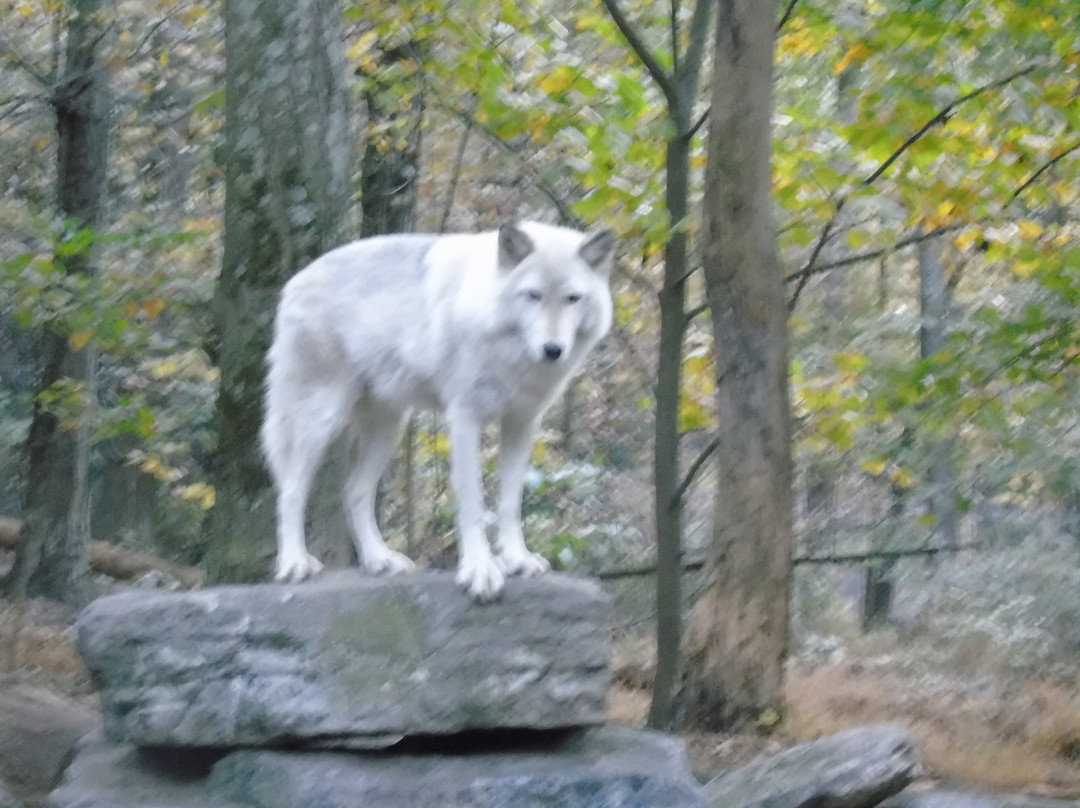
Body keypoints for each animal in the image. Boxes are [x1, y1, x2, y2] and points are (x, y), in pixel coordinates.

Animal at [260, 221, 614, 600]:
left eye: (572, 298)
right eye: (533, 295)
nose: (552, 349)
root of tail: (293, 282)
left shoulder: (521, 424)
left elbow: (510, 503)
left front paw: (517, 559)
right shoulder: (465, 419)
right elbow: (473, 503)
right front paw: (479, 571)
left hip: (388, 428)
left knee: (353, 491)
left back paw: (378, 560)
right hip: (321, 420)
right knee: (291, 490)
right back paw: (295, 563)